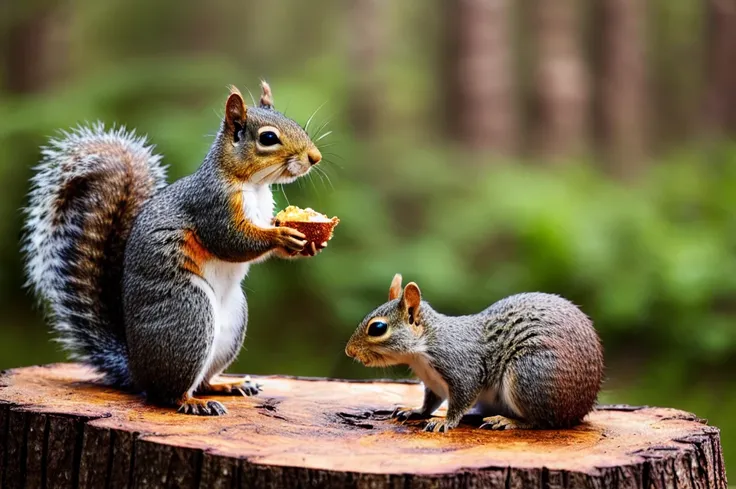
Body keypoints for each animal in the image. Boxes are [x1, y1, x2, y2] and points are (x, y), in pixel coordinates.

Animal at [24, 81, 326, 416]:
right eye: (268, 138)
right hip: (189, 314)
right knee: (167, 394)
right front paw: (282, 236)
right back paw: (193, 403)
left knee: (202, 380)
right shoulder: (212, 207)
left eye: (297, 124)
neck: (252, 185)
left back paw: (227, 386)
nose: (315, 157)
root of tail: (137, 369)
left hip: (231, 323)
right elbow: (233, 241)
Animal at [344, 274, 604, 430]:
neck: (422, 350)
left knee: (541, 421)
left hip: (530, 375)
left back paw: (505, 420)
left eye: (378, 328)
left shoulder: (462, 368)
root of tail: (579, 409)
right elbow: (430, 402)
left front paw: (446, 422)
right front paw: (415, 411)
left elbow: (461, 398)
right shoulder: (433, 383)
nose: (349, 352)